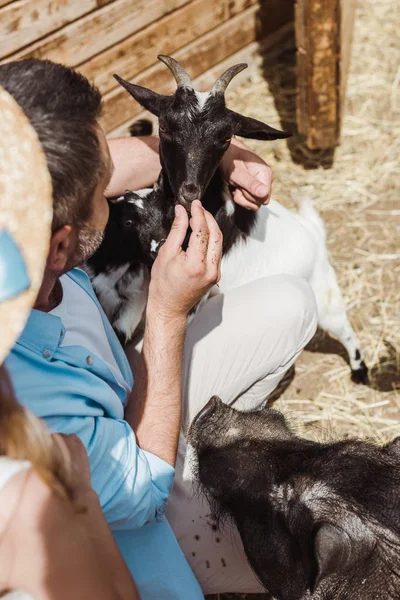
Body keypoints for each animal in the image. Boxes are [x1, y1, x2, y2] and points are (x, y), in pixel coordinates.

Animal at [112, 56, 368, 384]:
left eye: (226, 137)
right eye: (165, 127)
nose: (189, 193)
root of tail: (311, 231)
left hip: (324, 294)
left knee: (344, 328)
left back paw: (360, 370)